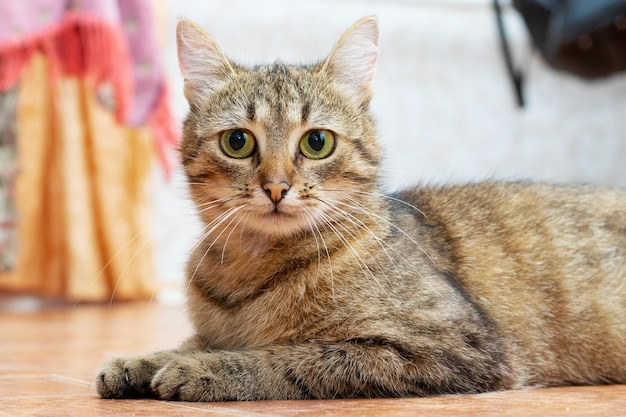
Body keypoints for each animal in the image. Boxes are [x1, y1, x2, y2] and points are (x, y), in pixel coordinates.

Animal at [95, 15, 624, 400]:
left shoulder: (454, 347)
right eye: (237, 142)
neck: (247, 271)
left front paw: (202, 368)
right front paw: (141, 361)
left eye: (317, 142)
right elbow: (186, 342)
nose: (276, 187)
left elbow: (287, 357)